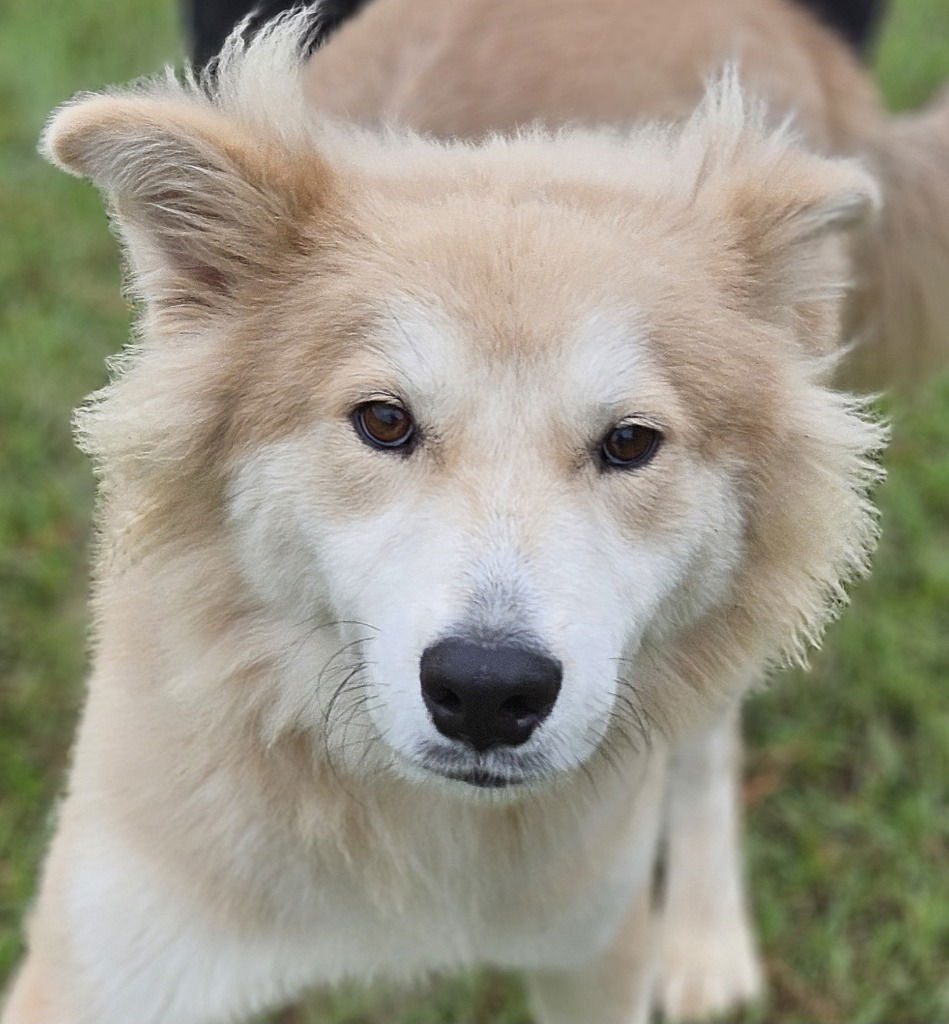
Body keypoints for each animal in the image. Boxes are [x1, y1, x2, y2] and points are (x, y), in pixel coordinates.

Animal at [3, 2, 945, 1024]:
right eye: (383, 421)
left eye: (629, 442)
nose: (489, 692)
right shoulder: (99, 965)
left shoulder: (596, 953)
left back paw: (703, 935)